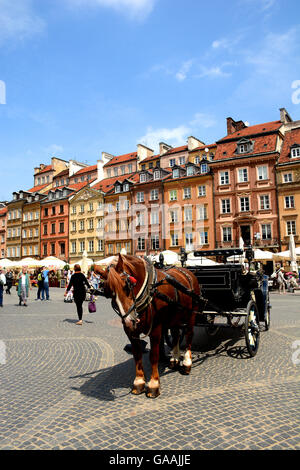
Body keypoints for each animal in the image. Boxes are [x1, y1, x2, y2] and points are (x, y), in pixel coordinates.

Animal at [95, 255, 200, 398]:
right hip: (174, 317)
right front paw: (139, 382)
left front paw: (153, 385)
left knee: (189, 335)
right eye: (109, 292)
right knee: (176, 335)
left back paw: (187, 363)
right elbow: (137, 355)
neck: (149, 291)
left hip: (191, 314)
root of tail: (187, 271)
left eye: (127, 286)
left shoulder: (155, 329)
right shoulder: (131, 332)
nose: (129, 321)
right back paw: (175, 358)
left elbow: (153, 356)